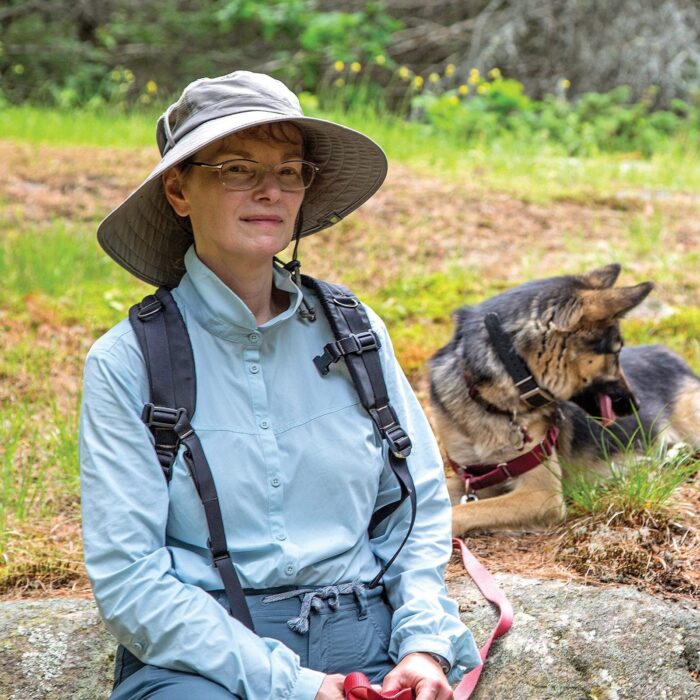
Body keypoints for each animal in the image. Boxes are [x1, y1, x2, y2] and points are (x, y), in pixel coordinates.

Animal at [426, 266, 700, 532]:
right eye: (616, 351)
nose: (637, 405)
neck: (494, 403)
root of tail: (674, 358)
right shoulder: (477, 478)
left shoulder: (541, 495)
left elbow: (462, 512)